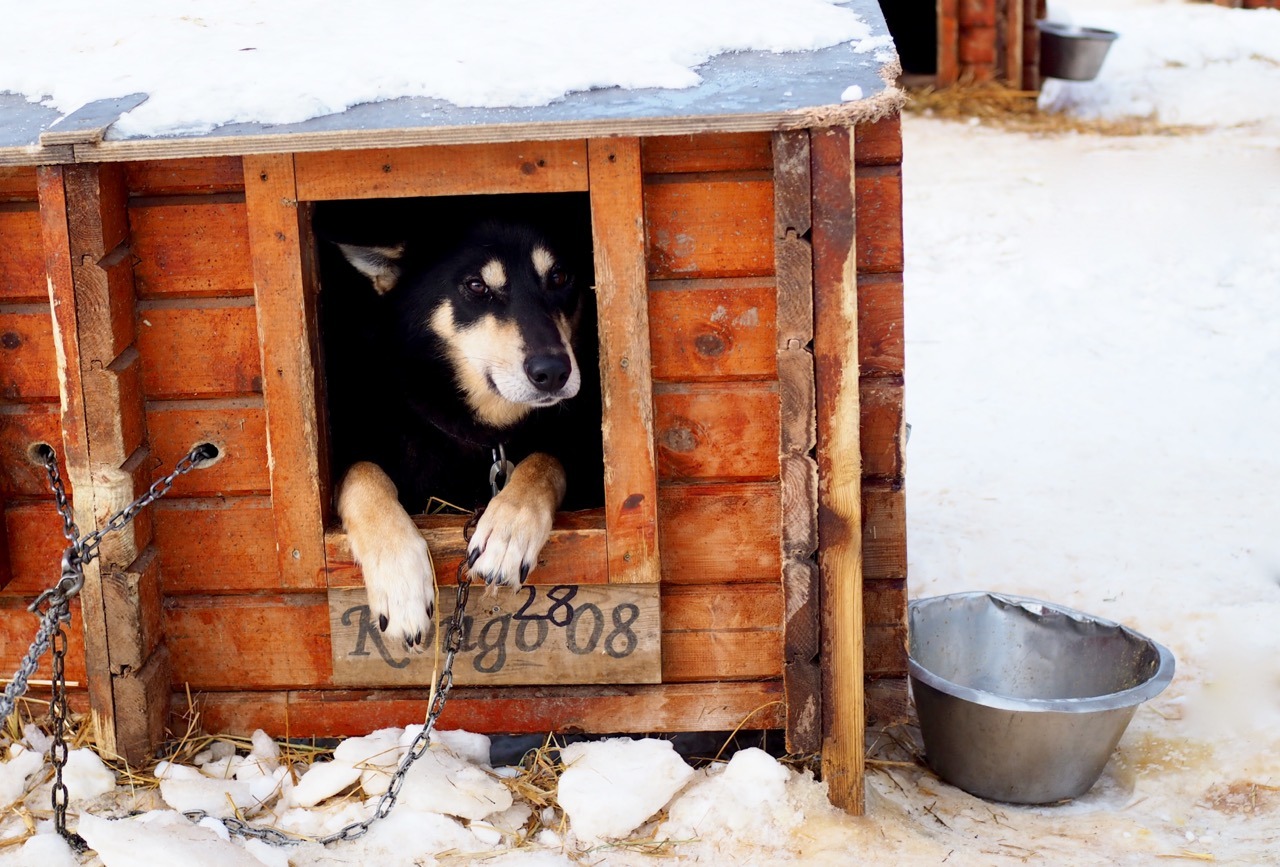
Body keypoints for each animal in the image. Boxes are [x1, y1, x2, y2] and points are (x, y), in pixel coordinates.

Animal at [320, 201, 599, 650]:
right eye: (476, 286)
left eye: (559, 276)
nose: (554, 372)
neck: (476, 427)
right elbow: (364, 473)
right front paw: (401, 582)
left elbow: (543, 460)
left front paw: (508, 529)